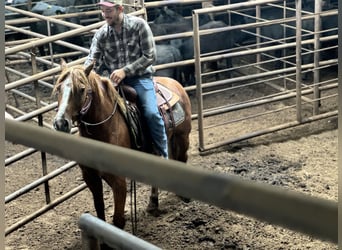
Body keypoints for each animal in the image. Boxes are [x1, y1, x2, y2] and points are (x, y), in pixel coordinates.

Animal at [52, 60, 192, 230]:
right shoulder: (90, 177)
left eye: (81, 89)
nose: (60, 123)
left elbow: (118, 220)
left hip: (182, 137)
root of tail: (175, 83)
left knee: (182, 158)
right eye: (58, 88)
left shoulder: (118, 181)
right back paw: (153, 204)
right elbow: (100, 213)